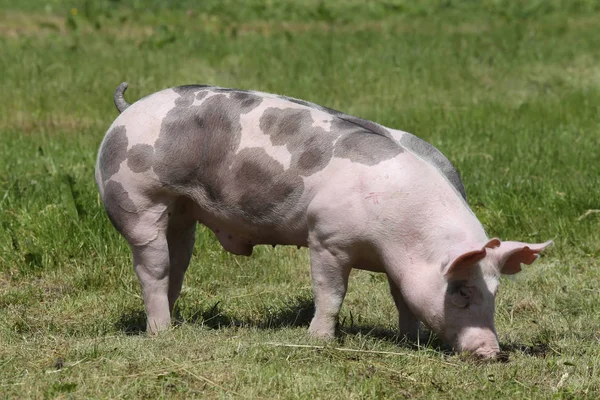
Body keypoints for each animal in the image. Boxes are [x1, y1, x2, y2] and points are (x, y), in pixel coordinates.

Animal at [96, 83, 552, 358]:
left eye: (494, 292)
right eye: (460, 291)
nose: (491, 352)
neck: (403, 237)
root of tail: (127, 110)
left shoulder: (399, 265)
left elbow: (403, 297)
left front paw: (410, 340)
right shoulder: (327, 238)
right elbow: (331, 294)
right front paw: (318, 341)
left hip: (182, 211)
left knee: (178, 262)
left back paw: (173, 322)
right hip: (137, 200)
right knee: (152, 266)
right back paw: (162, 333)